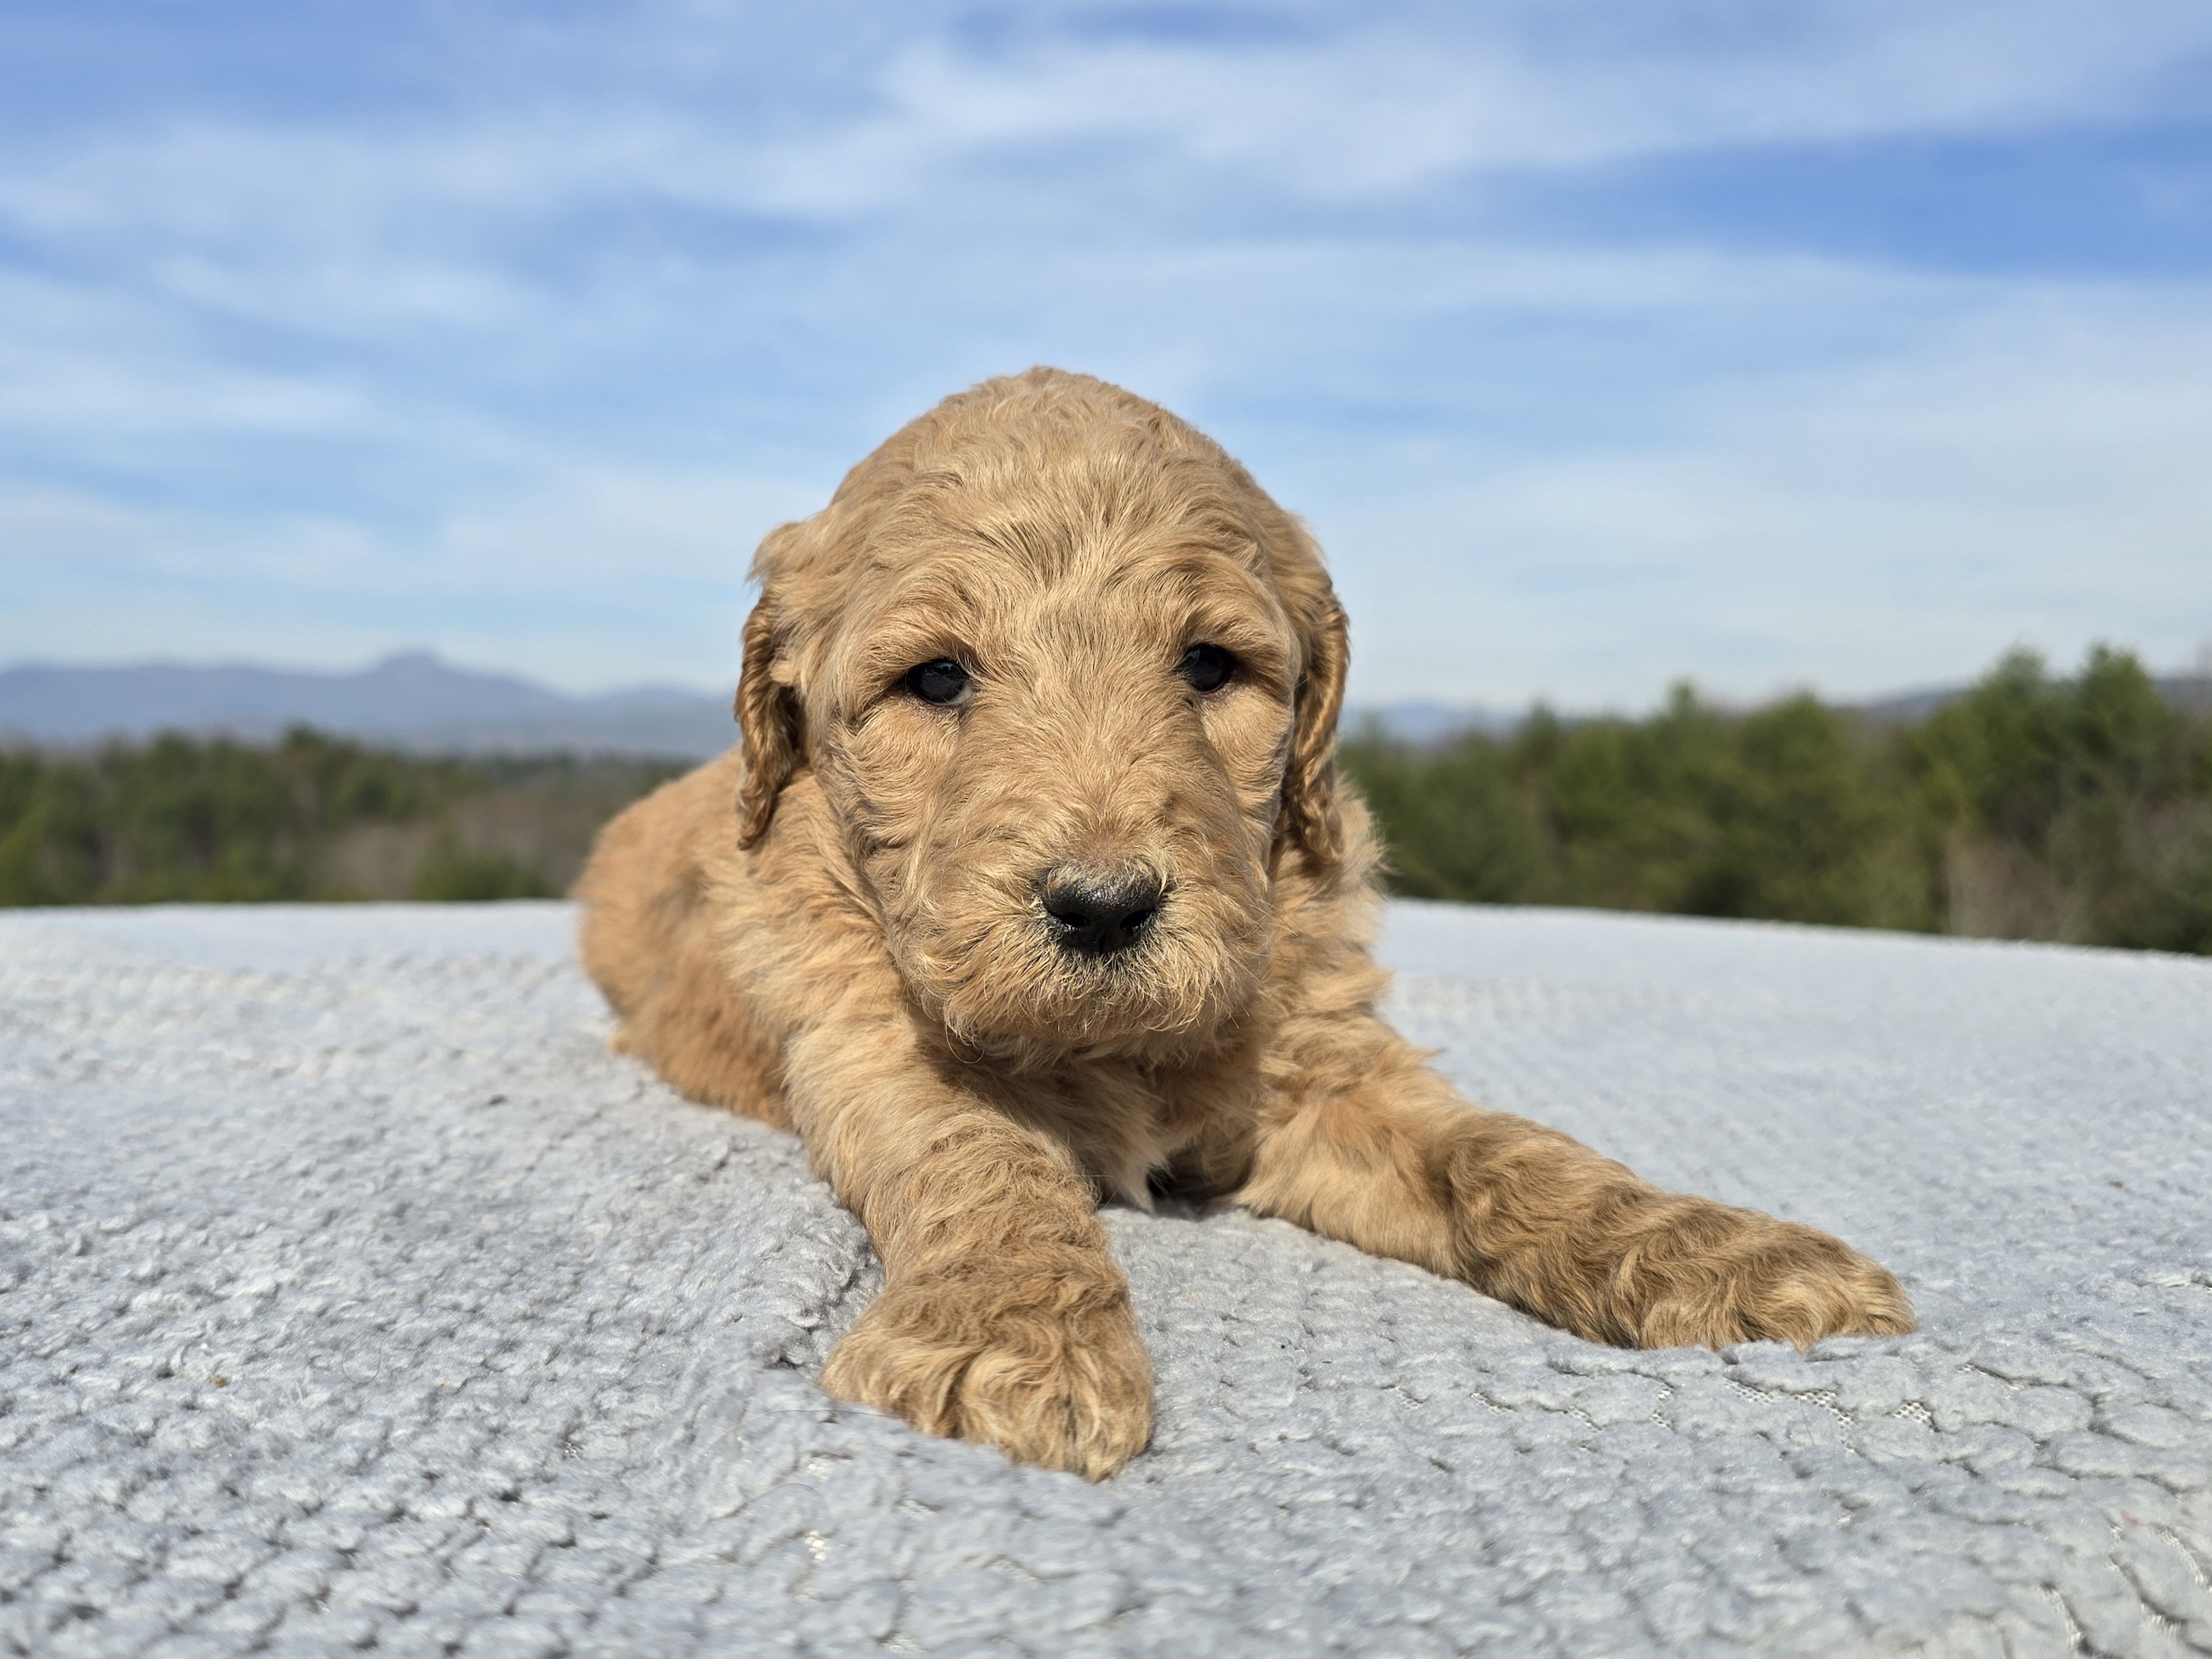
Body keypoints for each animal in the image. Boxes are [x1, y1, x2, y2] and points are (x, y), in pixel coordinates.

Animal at [576, 367, 1913, 1480]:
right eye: (937, 678)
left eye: (1209, 666)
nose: (1103, 908)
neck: (1109, 1044)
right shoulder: (879, 1053)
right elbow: (987, 1166)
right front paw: (1009, 1339)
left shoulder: (1330, 1074)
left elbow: (1506, 1150)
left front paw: (1712, 1248)